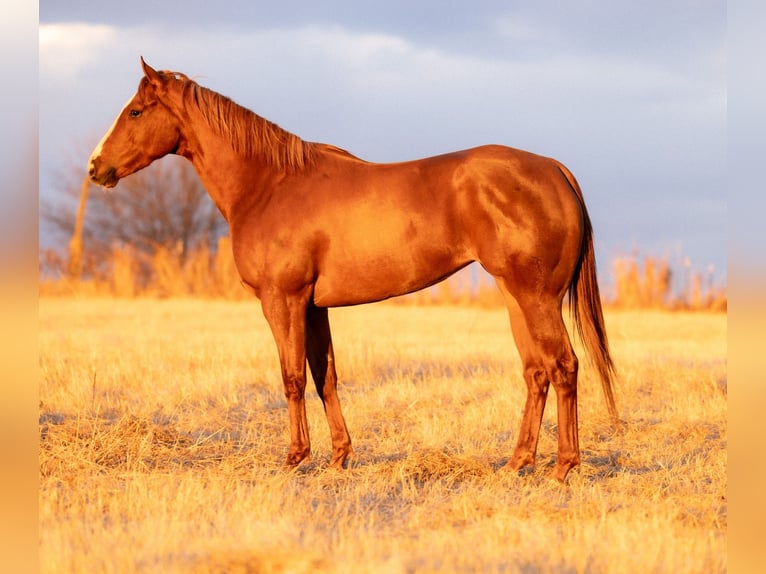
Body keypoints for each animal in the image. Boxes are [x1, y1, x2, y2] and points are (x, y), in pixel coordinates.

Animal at [89, 58, 618, 482]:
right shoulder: (314, 307)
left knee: (564, 366)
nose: (96, 168)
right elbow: (325, 376)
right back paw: (516, 463)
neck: (269, 184)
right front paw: (339, 457)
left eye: (136, 112)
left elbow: (292, 378)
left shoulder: (283, 299)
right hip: (515, 297)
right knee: (536, 371)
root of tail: (554, 170)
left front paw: (295, 458)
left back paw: (563, 467)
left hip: (536, 298)